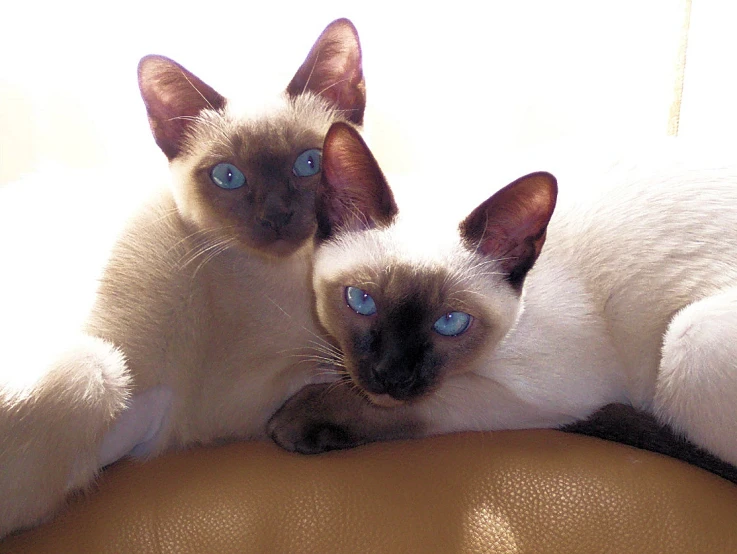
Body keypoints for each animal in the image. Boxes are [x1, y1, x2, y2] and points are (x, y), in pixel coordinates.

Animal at [0, 19, 366, 536]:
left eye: (308, 164)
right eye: (229, 176)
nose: (276, 217)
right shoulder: (230, 397)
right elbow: (336, 371)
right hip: (95, 368)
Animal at [268, 121, 736, 478]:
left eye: (451, 323)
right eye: (361, 301)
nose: (391, 374)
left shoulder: (552, 392)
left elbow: (426, 405)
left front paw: (297, 419)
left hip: (692, 340)